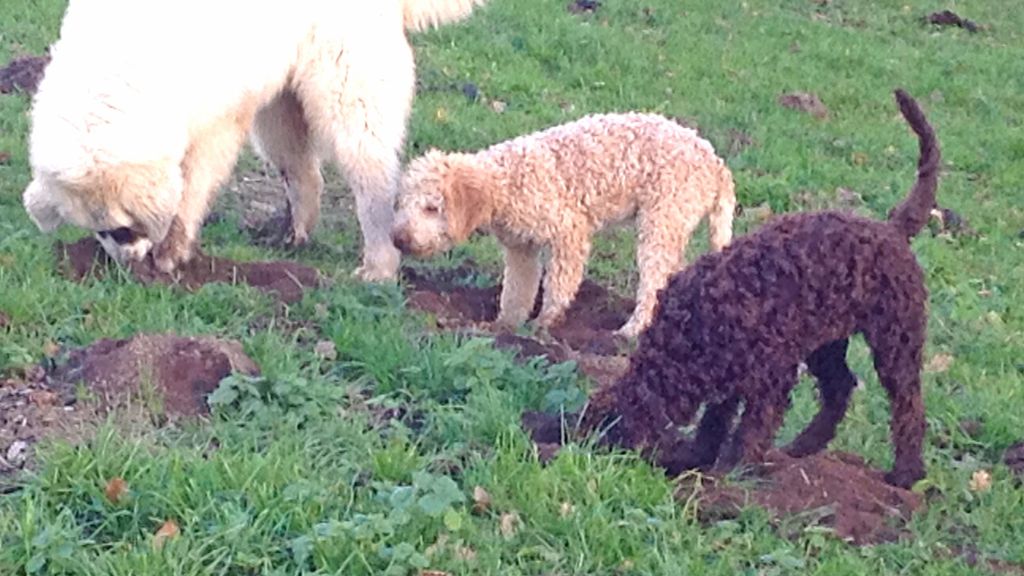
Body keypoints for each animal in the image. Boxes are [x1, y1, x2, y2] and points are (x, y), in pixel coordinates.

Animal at [24, 0, 485, 280]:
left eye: (122, 228)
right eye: (100, 231)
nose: (125, 264)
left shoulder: (217, 117)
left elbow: (192, 186)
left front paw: (172, 251)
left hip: (345, 87)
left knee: (369, 172)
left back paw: (379, 265)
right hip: (280, 103)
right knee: (303, 171)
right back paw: (294, 236)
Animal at [391, 112, 737, 336]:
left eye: (432, 208)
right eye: (401, 204)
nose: (399, 239)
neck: (508, 180)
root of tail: (715, 161)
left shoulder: (567, 231)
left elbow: (559, 283)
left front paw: (543, 325)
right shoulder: (521, 247)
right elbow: (517, 289)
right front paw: (505, 327)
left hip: (662, 218)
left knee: (654, 280)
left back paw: (631, 330)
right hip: (672, 223)